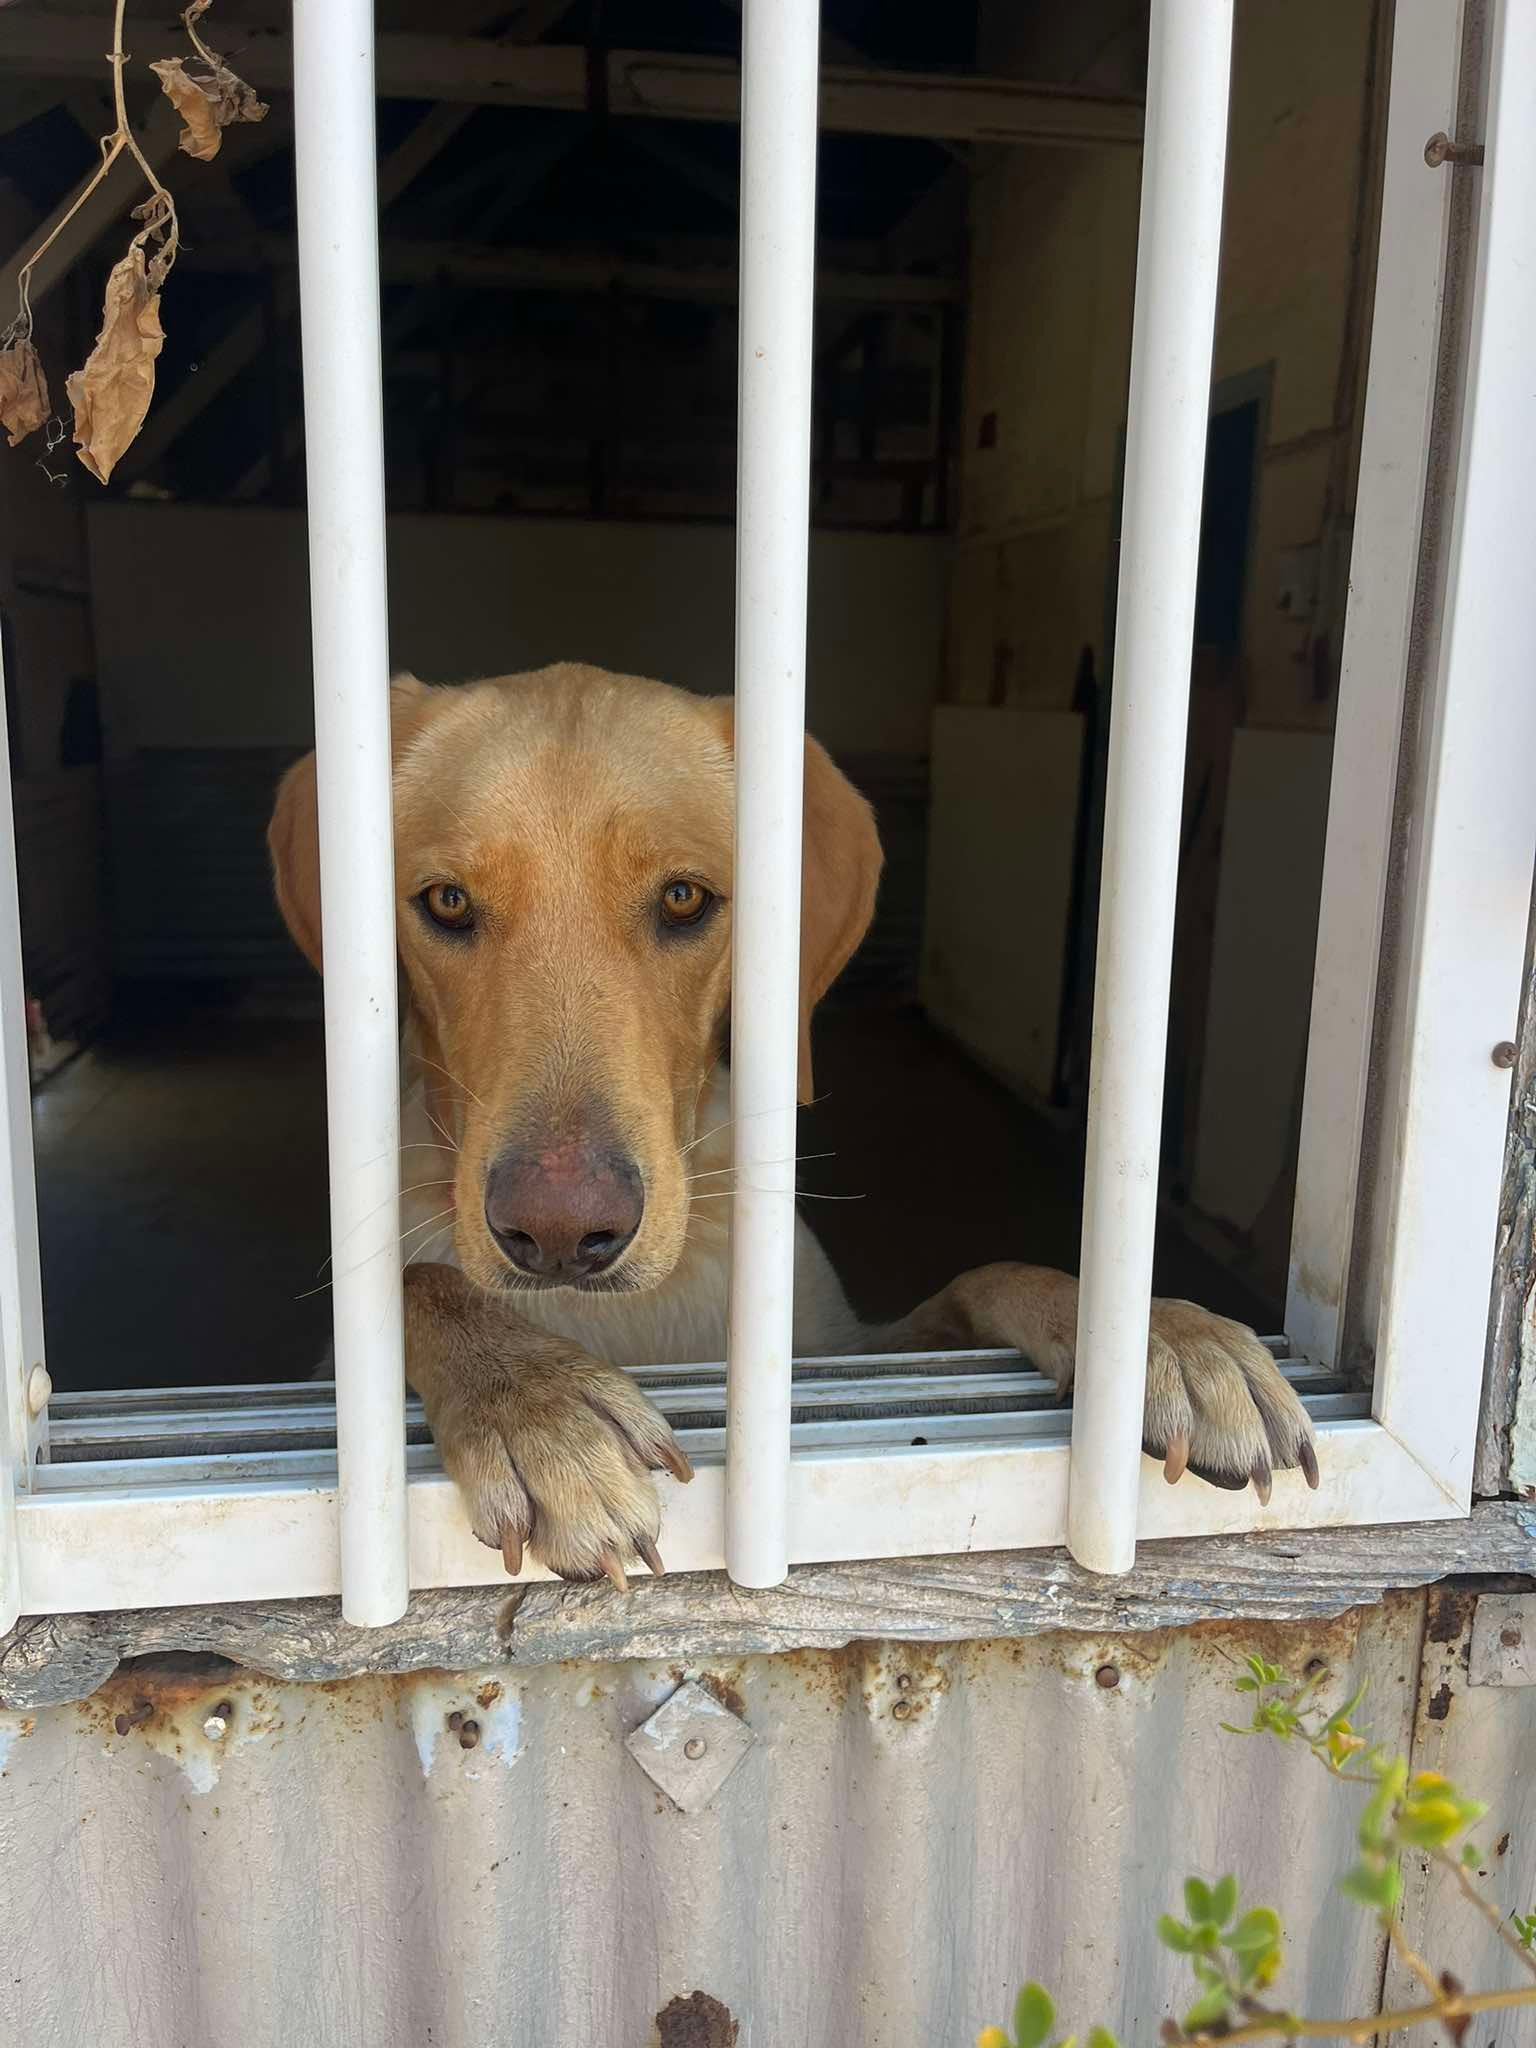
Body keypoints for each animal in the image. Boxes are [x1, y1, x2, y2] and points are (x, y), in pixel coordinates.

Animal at [268, 662, 1319, 1587]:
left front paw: (1157, 1333)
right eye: (446, 902)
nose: (562, 1234)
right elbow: (417, 1283)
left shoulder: (838, 1355)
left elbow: (986, 1274)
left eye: (685, 898)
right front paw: (535, 1400)